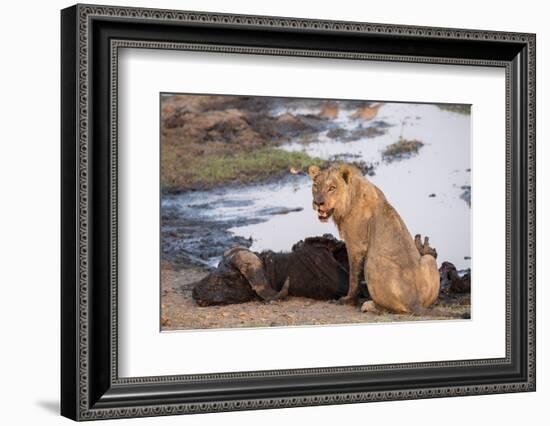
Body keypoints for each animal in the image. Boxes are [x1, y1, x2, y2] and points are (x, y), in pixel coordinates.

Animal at [308, 163, 442, 312]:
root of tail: (415, 302)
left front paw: (348, 300)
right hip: (428, 260)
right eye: (315, 186)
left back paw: (368, 305)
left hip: (371, 263)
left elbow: (354, 276)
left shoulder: (356, 245)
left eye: (332, 188)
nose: (318, 202)